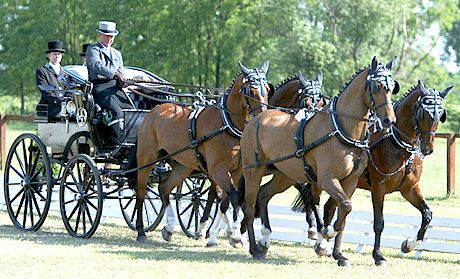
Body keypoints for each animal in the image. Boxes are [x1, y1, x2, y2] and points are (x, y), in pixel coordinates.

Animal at [131, 60, 272, 246]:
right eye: (251, 90)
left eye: (267, 89)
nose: (262, 116)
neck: (226, 123)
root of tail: (154, 111)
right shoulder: (217, 170)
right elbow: (232, 197)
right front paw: (233, 235)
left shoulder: (236, 172)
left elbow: (227, 200)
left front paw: (226, 234)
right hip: (146, 160)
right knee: (141, 192)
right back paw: (141, 231)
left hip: (182, 166)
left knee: (163, 188)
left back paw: (169, 228)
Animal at [237, 55, 398, 266]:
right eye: (376, 86)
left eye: (392, 87)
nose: (389, 121)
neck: (342, 129)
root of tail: (256, 119)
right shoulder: (326, 179)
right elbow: (344, 206)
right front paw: (326, 234)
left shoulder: (350, 182)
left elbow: (343, 211)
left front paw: (338, 254)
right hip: (253, 172)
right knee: (248, 207)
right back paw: (254, 248)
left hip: (285, 176)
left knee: (263, 196)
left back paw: (265, 239)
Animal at [292, 80, 454, 266]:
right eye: (423, 112)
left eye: (440, 114)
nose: (428, 148)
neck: (396, 144)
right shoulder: (378, 188)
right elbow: (379, 222)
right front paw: (378, 256)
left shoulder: (410, 189)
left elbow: (427, 214)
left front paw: (409, 245)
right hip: (320, 180)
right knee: (315, 202)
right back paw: (321, 241)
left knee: (330, 208)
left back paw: (331, 247)